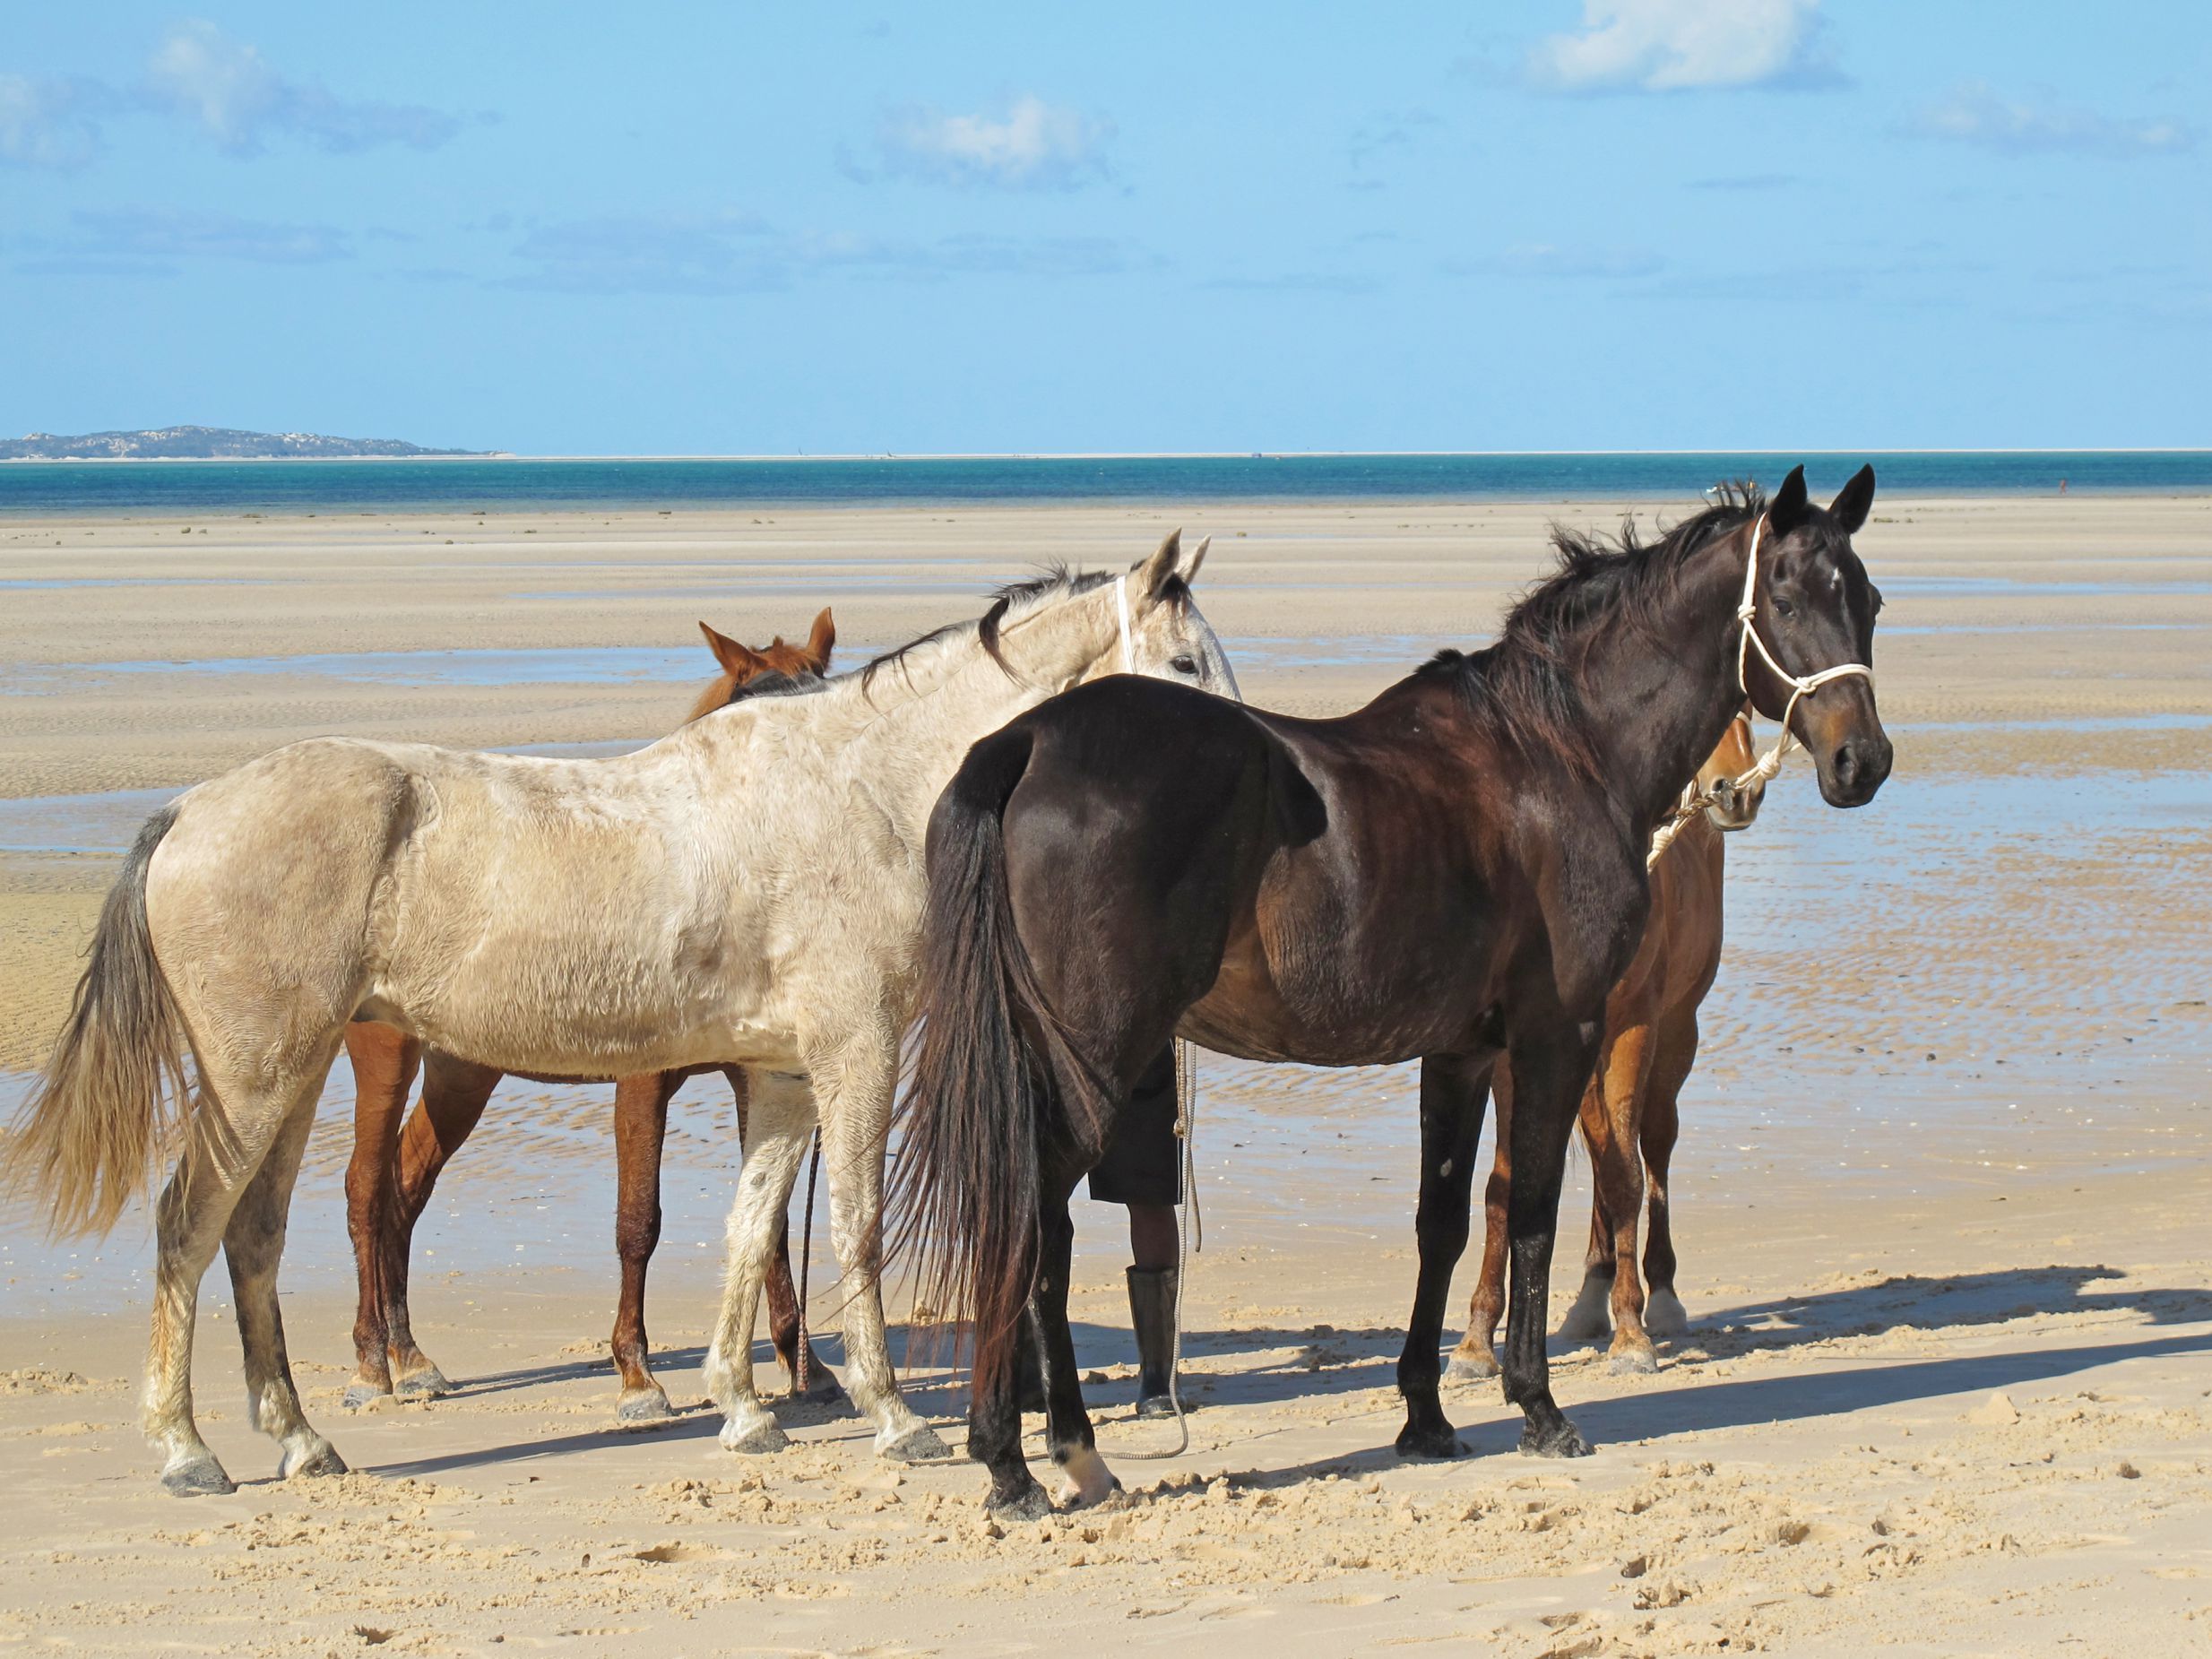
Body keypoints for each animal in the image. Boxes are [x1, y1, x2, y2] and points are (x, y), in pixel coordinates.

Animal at [345, 606, 835, 1415]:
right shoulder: (643, 1083)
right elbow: (639, 1220)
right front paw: (636, 1372)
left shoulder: (757, 1076)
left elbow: (766, 1216)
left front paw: (808, 1367)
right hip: (384, 1059)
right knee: (364, 1189)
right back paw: (370, 1364)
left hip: (462, 1074)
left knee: (405, 1189)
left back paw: (411, 1356)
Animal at [1451, 707, 1760, 1380]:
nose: (1737, 789)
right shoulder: (1515, 1052)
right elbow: (1504, 1183)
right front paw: (1476, 1338)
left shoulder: (1634, 1028)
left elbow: (1626, 1175)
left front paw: (1633, 1332)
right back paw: (1588, 1298)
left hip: (1677, 1034)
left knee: (1652, 1145)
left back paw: (1658, 1298)